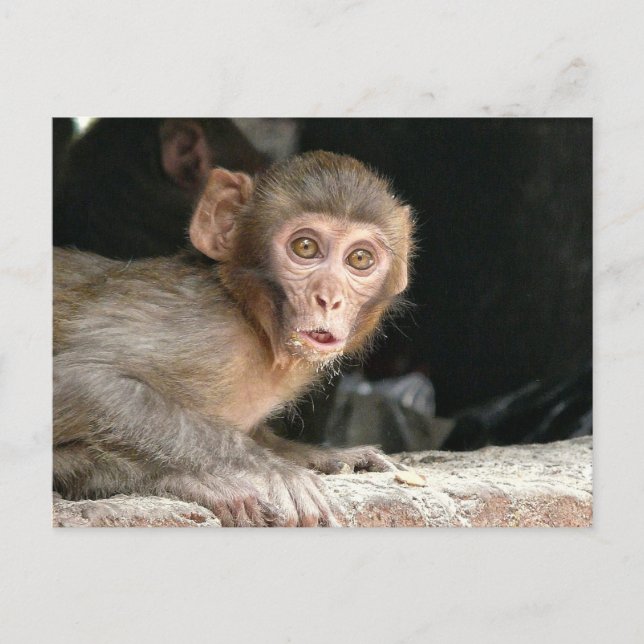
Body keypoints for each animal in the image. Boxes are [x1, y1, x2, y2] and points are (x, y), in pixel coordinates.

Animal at [53, 151, 414, 527]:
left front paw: (321, 455)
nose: (329, 298)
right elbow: (77, 377)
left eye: (359, 258)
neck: (254, 323)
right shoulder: (205, 330)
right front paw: (270, 470)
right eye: (305, 247)